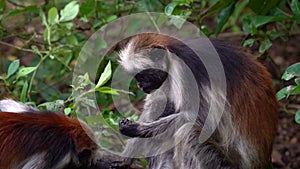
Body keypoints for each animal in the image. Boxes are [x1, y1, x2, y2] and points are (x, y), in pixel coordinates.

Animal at [118, 33, 278, 168]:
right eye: (137, 76)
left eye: (142, 75)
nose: (140, 85)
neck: (173, 54)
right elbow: (156, 104)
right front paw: (123, 159)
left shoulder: (183, 70)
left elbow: (198, 118)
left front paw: (139, 129)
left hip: (221, 164)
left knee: (186, 131)